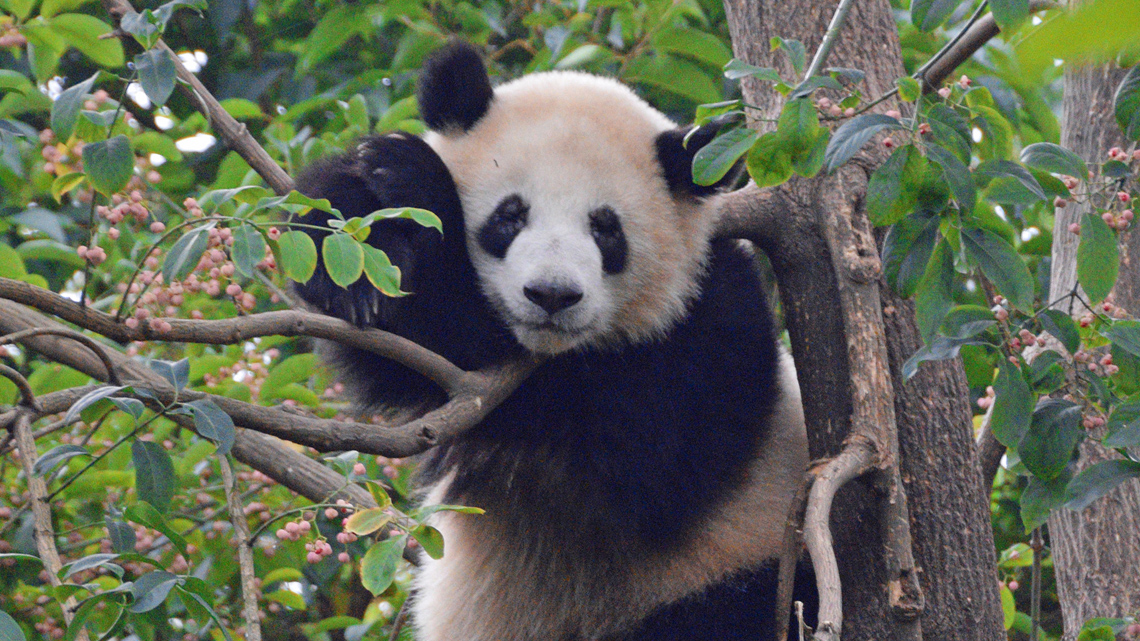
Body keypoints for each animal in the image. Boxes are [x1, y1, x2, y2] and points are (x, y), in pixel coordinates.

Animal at [294, 41, 817, 641]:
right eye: (510, 215)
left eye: (605, 228)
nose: (552, 295)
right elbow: (395, 330)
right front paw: (364, 243)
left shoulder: (707, 336)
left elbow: (656, 464)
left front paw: (419, 187)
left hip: (735, 570)